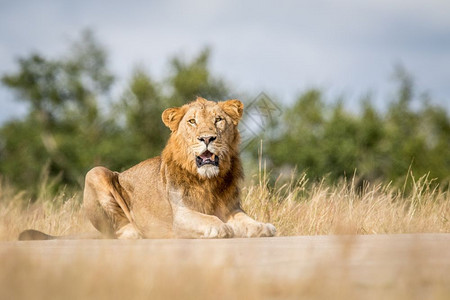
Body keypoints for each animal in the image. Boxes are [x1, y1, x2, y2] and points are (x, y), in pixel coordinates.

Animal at [18, 97, 278, 240]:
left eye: (218, 120)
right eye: (192, 121)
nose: (207, 138)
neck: (208, 181)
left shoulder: (232, 208)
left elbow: (247, 221)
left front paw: (262, 227)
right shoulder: (181, 215)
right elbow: (211, 220)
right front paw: (221, 228)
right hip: (96, 172)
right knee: (114, 232)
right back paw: (135, 232)